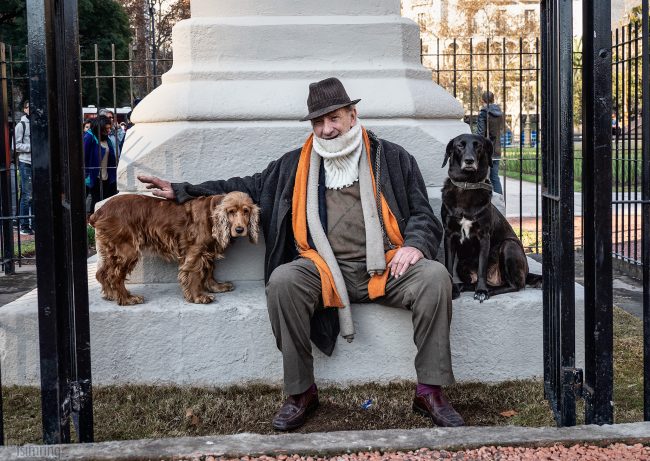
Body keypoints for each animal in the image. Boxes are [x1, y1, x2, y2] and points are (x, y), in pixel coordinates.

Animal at [438, 132, 540, 302]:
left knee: (515, 285)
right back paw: (462, 287)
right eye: (459, 145)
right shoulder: (449, 235)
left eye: (478, 146)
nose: (469, 160)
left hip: (509, 246)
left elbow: (481, 267)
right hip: (462, 264)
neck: (467, 184)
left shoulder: (484, 236)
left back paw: (488, 290)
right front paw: (451, 289)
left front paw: (481, 291)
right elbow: (448, 265)